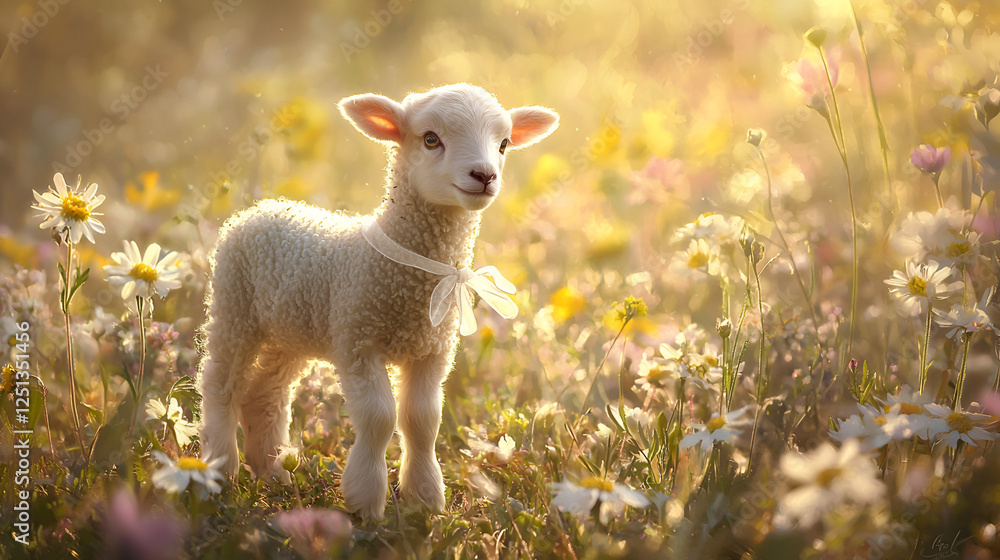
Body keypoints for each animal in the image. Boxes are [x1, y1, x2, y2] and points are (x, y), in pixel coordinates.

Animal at [198, 83, 559, 522]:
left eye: (504, 143)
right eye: (430, 139)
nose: (484, 175)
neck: (409, 276)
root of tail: (261, 208)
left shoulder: (432, 351)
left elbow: (422, 420)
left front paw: (425, 499)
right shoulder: (358, 340)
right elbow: (379, 417)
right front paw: (366, 502)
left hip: (290, 332)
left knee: (265, 395)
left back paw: (273, 474)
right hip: (234, 308)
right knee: (220, 384)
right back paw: (220, 472)